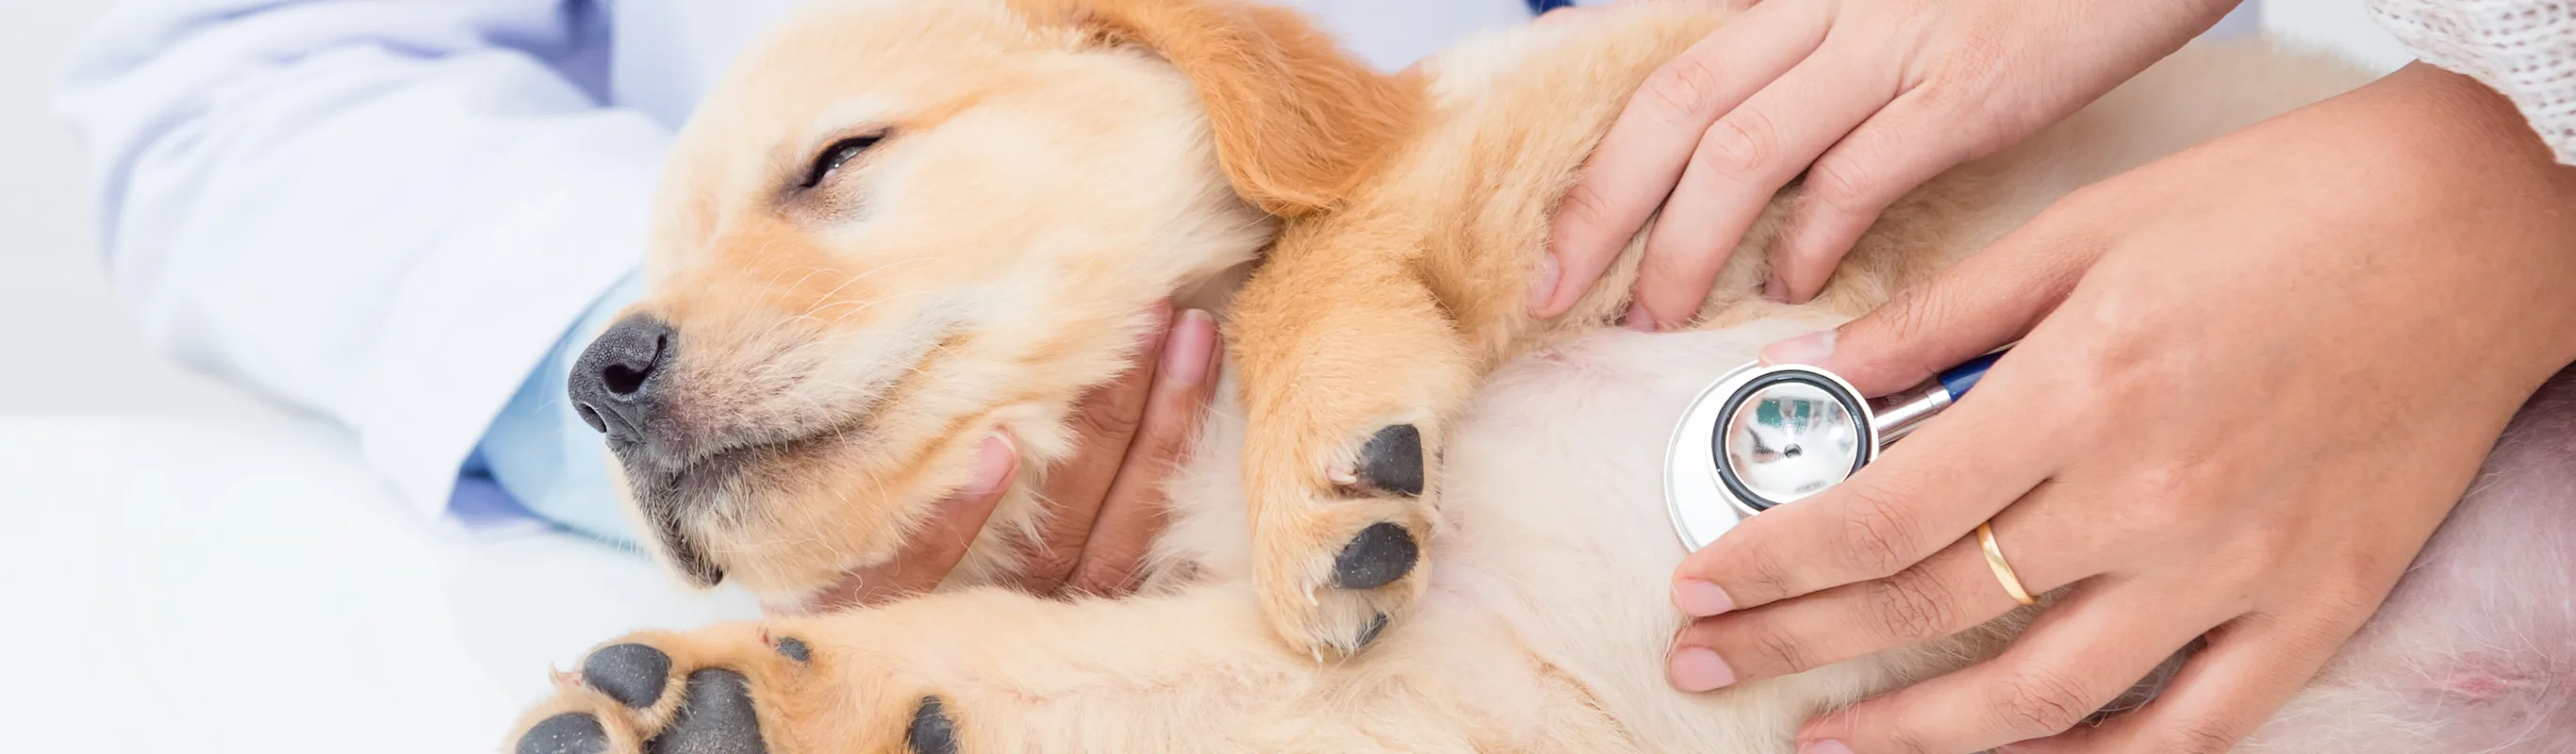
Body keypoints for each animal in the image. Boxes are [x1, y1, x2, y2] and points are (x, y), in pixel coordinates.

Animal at [507, 1, 2576, 751]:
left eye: (837, 163)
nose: (598, 374)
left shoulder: (1673, 121)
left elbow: (1339, 231)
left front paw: (1326, 455)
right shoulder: (1449, 689)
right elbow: (1052, 672)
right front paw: (741, 691)